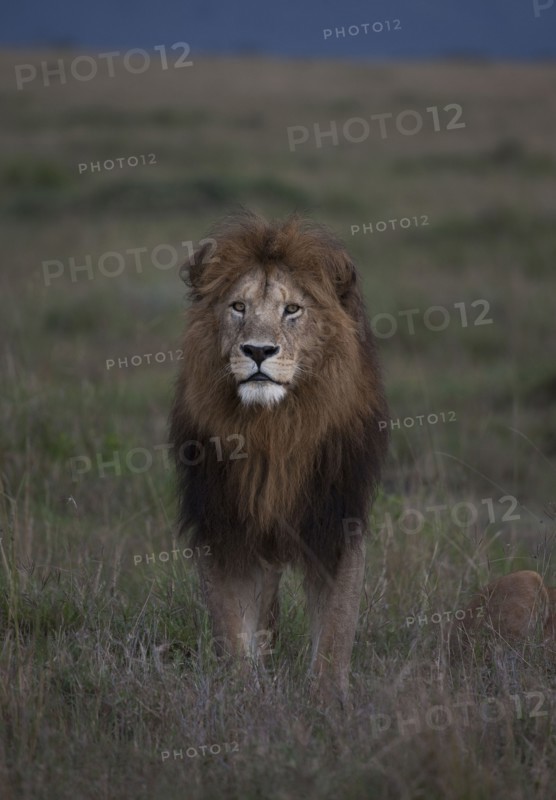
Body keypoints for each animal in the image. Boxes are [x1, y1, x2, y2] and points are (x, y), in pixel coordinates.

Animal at [169, 210, 389, 702]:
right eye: (238, 307)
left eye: (292, 310)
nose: (257, 350)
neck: (273, 428)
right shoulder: (223, 525)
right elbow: (232, 631)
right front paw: (241, 696)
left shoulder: (337, 521)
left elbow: (336, 629)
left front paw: (327, 701)